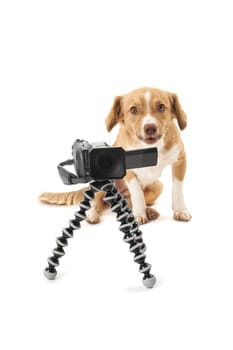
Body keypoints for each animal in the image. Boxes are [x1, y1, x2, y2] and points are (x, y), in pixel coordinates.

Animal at [40, 87, 192, 224]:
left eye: (161, 107)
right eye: (133, 110)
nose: (150, 128)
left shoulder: (180, 160)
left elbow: (177, 189)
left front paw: (180, 210)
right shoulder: (129, 171)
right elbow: (137, 192)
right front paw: (139, 214)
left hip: (157, 187)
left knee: (127, 202)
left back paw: (149, 211)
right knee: (98, 203)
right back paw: (92, 214)